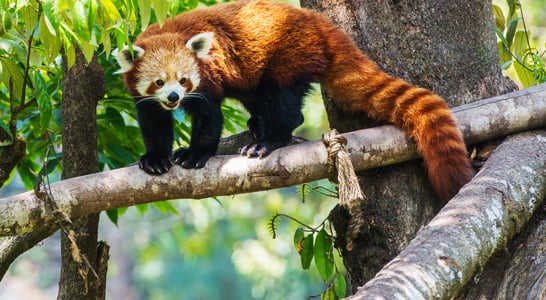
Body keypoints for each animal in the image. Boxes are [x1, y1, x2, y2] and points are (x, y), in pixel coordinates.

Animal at [113, 0, 472, 202]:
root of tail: (319, 24)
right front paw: (156, 159)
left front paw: (196, 153)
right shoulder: (147, 99)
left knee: (282, 101)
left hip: (288, 56)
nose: (174, 97)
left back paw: (269, 139)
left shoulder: (209, 77)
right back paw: (257, 124)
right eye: (160, 82)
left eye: (184, 79)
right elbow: (154, 123)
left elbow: (208, 119)